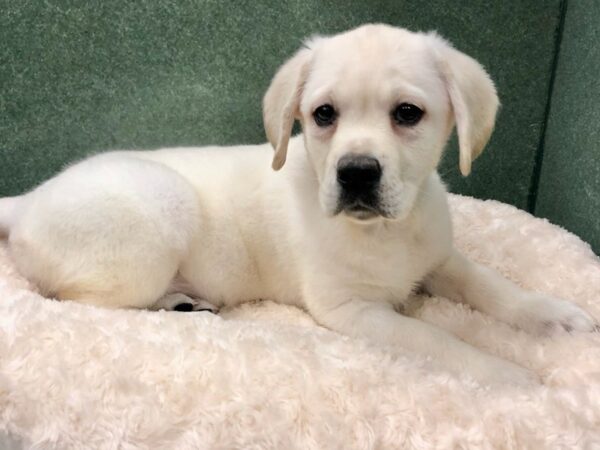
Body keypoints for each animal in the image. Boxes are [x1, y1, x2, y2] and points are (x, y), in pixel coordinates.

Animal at [0, 23, 596, 384]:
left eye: (407, 113)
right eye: (323, 114)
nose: (356, 173)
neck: (386, 232)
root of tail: (26, 201)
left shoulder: (439, 259)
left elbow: (491, 286)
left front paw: (551, 314)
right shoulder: (353, 309)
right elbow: (438, 339)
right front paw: (508, 375)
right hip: (154, 225)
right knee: (79, 303)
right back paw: (176, 307)